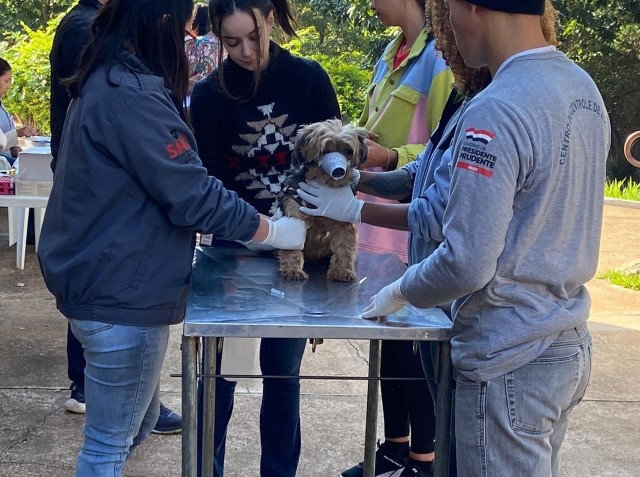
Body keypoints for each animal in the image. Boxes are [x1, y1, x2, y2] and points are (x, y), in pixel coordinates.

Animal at [278, 119, 368, 280]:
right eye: (323, 151)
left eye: (348, 151)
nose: (338, 171)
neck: (324, 184)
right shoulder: (295, 215)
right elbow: (291, 246)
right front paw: (292, 270)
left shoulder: (343, 221)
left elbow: (344, 246)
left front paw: (341, 270)